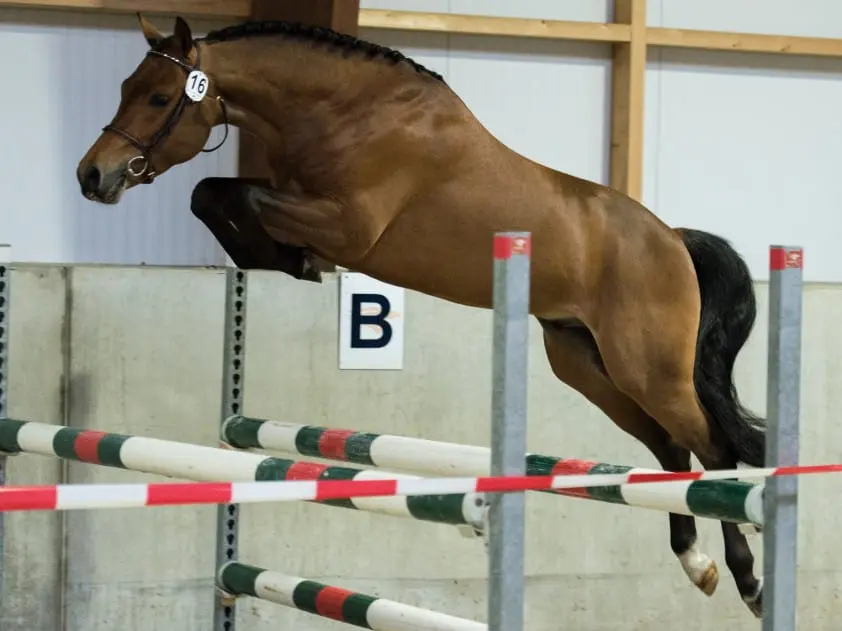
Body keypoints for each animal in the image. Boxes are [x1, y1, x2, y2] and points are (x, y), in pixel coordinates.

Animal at [76, 14, 766, 617]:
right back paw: (696, 563)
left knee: (713, 448)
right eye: (126, 88)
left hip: (646, 368)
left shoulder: (346, 227)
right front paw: (278, 260)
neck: (345, 111)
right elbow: (213, 194)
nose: (93, 175)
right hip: (587, 365)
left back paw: (746, 579)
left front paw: (290, 259)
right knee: (670, 447)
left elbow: (229, 194)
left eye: (160, 96)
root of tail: (671, 239)